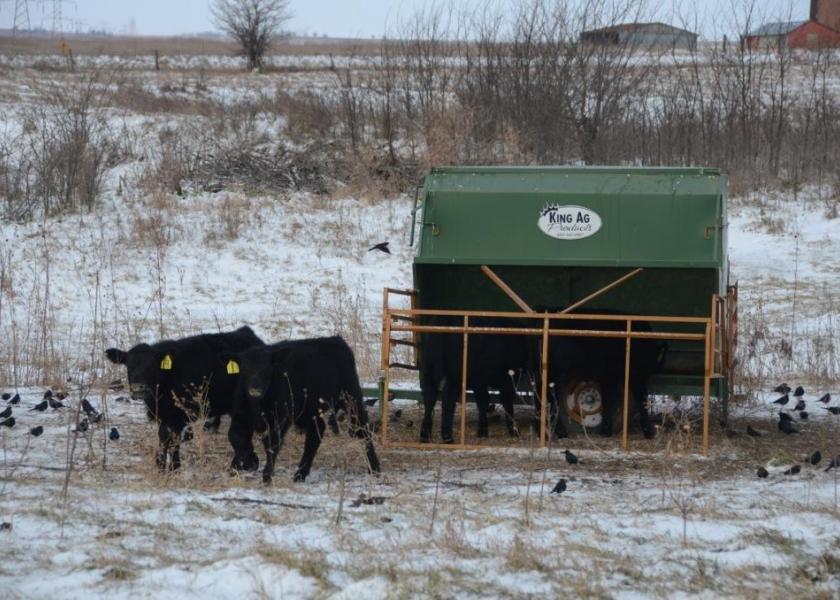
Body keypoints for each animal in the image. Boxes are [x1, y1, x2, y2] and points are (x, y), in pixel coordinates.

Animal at [105, 326, 264, 471]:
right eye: (129, 366)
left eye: (151, 367)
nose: (139, 388)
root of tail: (246, 332)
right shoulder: (165, 415)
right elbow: (163, 438)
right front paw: (161, 465)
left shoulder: (179, 415)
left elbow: (174, 440)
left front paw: (174, 467)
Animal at [221, 336, 380, 484]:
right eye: (245, 369)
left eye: (267, 368)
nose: (255, 388)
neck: (258, 403)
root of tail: (336, 339)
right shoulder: (241, 415)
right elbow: (235, 437)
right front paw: (243, 463)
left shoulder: (281, 417)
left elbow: (272, 442)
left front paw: (266, 475)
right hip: (314, 410)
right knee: (315, 436)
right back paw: (300, 474)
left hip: (351, 397)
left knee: (363, 429)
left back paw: (374, 469)